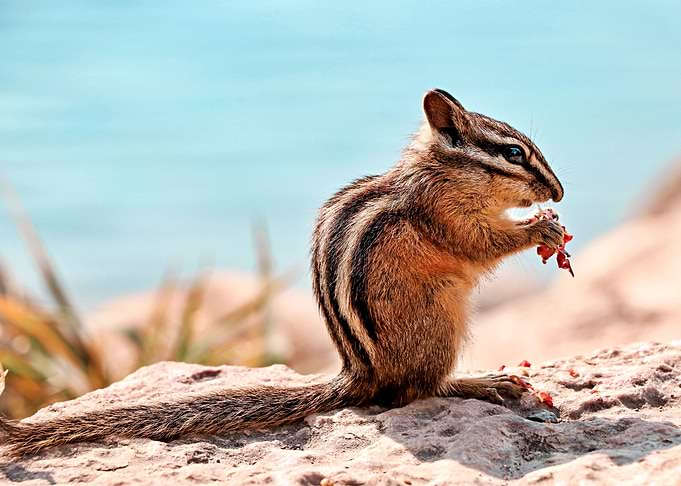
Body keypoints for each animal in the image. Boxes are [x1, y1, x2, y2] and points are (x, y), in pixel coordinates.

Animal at [0, 88, 565, 456]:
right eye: (513, 152)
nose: (558, 193)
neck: (440, 172)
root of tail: (361, 373)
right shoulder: (445, 217)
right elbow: (480, 244)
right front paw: (540, 228)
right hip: (440, 325)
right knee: (414, 391)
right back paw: (483, 382)